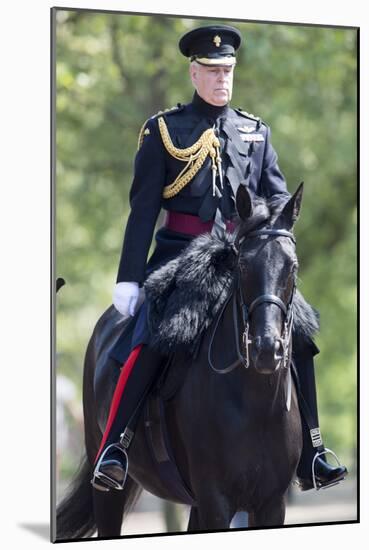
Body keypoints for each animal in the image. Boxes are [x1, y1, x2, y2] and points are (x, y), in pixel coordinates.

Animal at [56, 187, 310, 544]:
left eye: (292, 267)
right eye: (242, 265)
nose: (265, 348)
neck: (255, 403)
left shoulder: (270, 503)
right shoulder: (215, 499)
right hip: (106, 482)